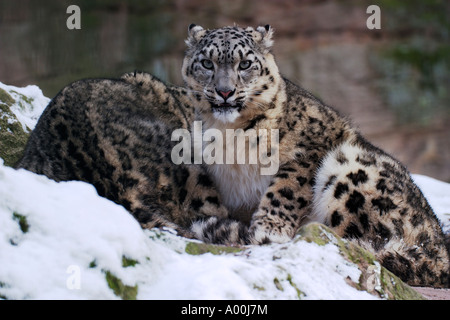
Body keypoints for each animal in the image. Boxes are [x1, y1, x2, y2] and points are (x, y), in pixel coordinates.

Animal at [184, 23, 450, 286]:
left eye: (245, 64)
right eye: (207, 63)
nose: (225, 91)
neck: (228, 133)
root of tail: (440, 253)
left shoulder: (308, 151)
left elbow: (285, 191)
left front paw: (268, 230)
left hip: (350, 166)